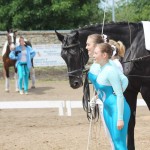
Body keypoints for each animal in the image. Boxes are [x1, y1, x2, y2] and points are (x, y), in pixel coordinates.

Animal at [56, 21, 150, 150]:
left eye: (76, 52)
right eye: (62, 55)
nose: (74, 83)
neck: (134, 44)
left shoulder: (146, 89)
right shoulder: (130, 90)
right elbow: (130, 122)